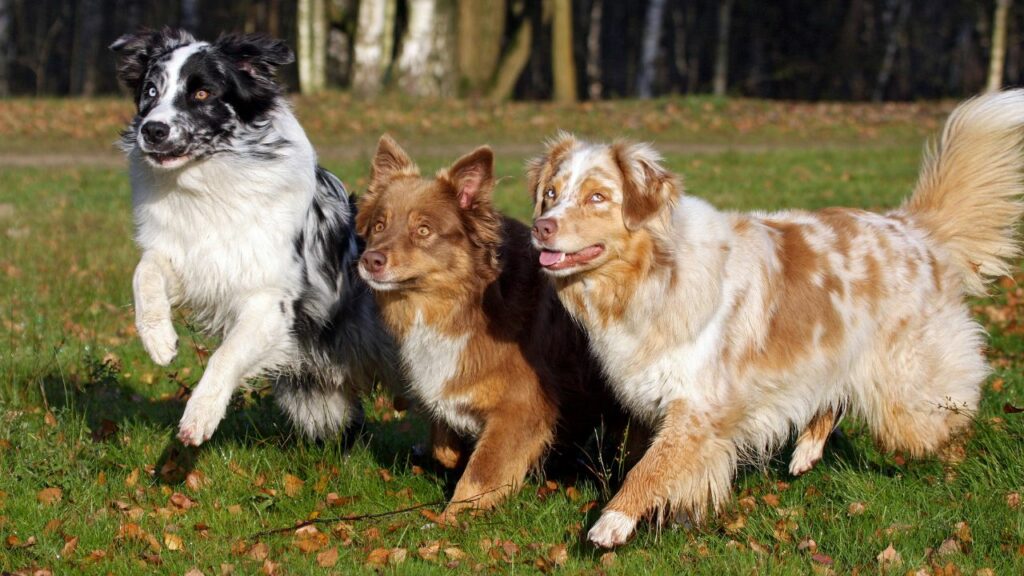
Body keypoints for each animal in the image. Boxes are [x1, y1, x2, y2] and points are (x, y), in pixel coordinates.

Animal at [110, 28, 399, 444]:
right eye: (150, 91)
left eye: (202, 93)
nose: (153, 129)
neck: (209, 185)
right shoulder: (193, 261)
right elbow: (144, 271)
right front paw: (158, 339)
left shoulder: (270, 301)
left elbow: (226, 355)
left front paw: (200, 414)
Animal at [356, 135, 618, 520]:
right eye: (378, 225)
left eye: (424, 230)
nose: (370, 260)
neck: (461, 304)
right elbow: (443, 439)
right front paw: (451, 451)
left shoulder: (522, 406)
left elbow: (481, 472)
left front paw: (450, 518)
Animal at [528, 91, 1024, 545]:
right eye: (550, 194)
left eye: (597, 197)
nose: (540, 227)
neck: (651, 278)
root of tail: (911, 227)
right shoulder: (658, 402)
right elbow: (653, 463)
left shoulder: (699, 405)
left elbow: (649, 469)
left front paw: (613, 521)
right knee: (834, 397)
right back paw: (806, 451)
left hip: (906, 397)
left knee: (951, 408)